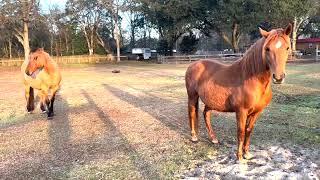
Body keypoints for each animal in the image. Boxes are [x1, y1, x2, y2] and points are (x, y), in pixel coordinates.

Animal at [185, 23, 292, 160]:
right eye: (267, 49)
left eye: (287, 48)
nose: (278, 77)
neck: (251, 78)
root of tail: (193, 64)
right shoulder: (241, 111)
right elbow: (240, 131)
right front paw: (239, 156)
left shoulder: (256, 112)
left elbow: (248, 130)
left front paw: (247, 153)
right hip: (192, 96)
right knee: (192, 113)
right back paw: (194, 137)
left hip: (211, 101)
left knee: (206, 114)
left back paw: (214, 139)